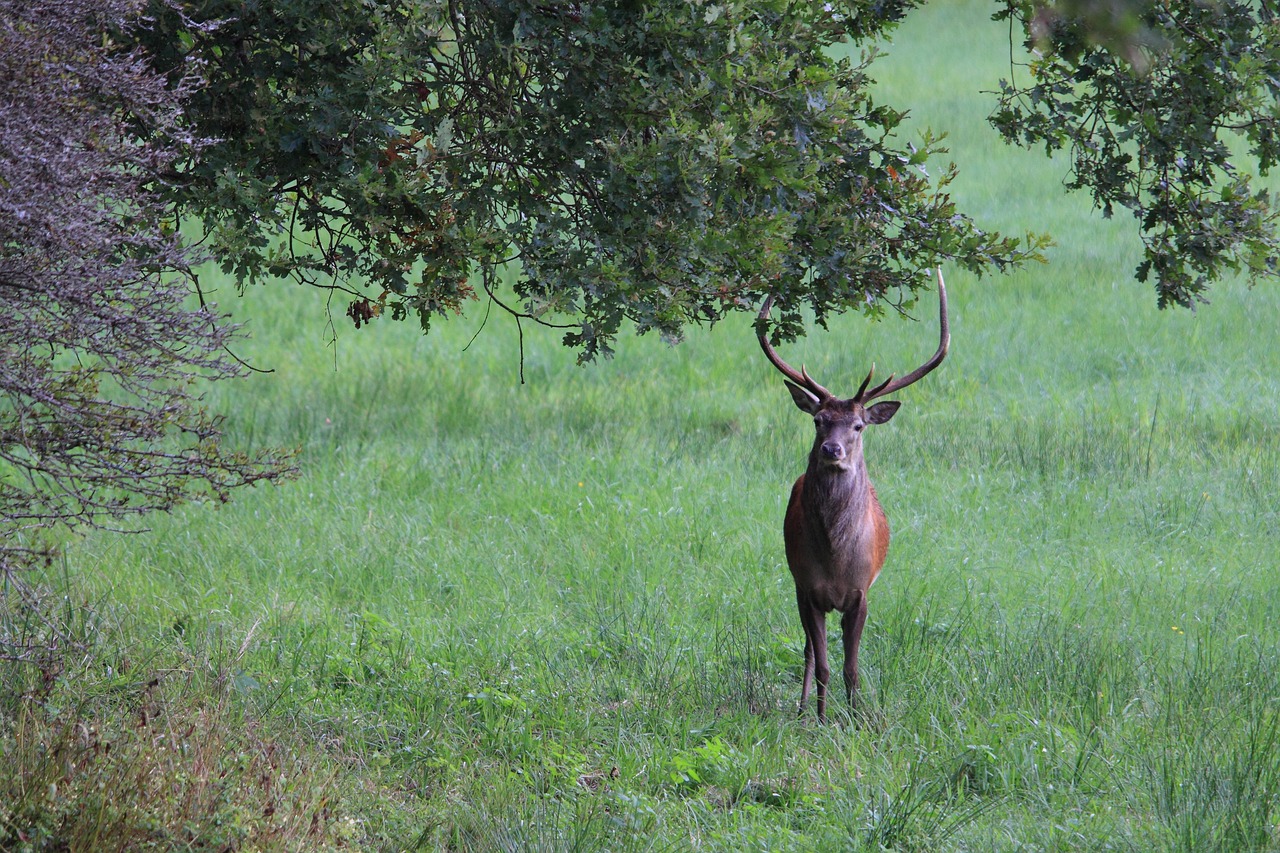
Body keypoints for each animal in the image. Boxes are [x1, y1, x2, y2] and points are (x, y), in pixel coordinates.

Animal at [758, 269, 949, 721]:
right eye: (819, 421)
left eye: (859, 425)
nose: (832, 450)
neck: (835, 558)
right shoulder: (807, 588)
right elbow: (825, 663)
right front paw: (821, 719)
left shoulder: (862, 593)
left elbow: (852, 668)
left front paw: (856, 719)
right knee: (809, 652)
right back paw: (802, 709)